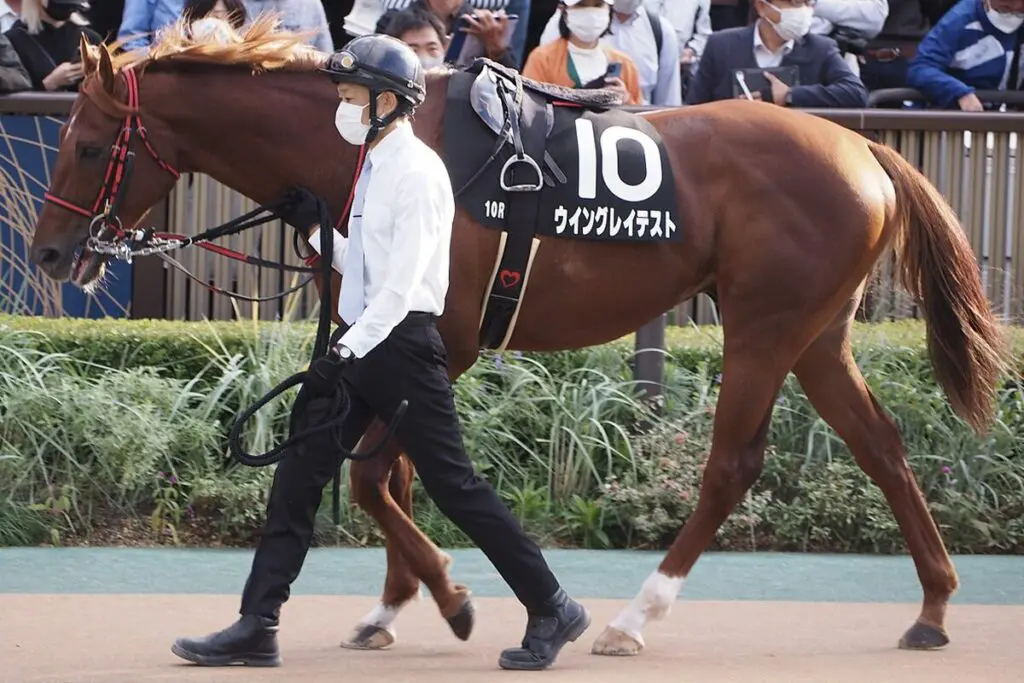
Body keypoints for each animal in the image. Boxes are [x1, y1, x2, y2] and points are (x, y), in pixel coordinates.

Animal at [28, 17, 1008, 659]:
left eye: (87, 144)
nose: (48, 251)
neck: (371, 144)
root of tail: (863, 150)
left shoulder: (443, 335)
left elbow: (378, 476)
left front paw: (453, 597)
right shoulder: (385, 339)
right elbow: (385, 473)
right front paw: (392, 606)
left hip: (765, 326)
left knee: (734, 464)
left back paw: (632, 617)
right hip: (817, 333)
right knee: (882, 445)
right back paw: (933, 607)